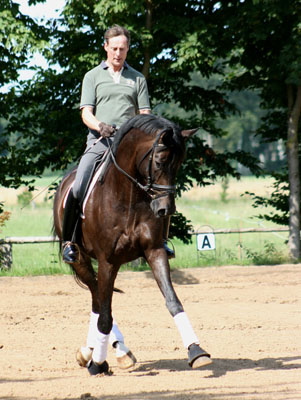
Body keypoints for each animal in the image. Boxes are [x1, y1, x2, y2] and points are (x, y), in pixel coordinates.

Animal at [52, 113, 210, 376]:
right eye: (160, 162)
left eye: (179, 164)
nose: (166, 209)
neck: (128, 197)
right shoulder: (108, 260)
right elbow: (105, 315)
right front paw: (98, 363)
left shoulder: (154, 251)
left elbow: (173, 301)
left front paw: (196, 351)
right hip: (80, 259)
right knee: (97, 298)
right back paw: (104, 353)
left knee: (97, 300)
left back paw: (97, 350)